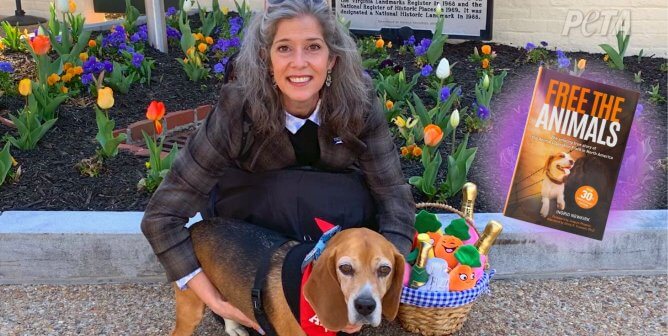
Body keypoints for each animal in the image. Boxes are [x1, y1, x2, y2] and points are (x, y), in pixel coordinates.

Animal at [170, 219, 404, 334]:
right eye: (345, 268)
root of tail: (194, 226)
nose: (365, 306)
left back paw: (233, 327)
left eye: (385, 269)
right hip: (191, 308)